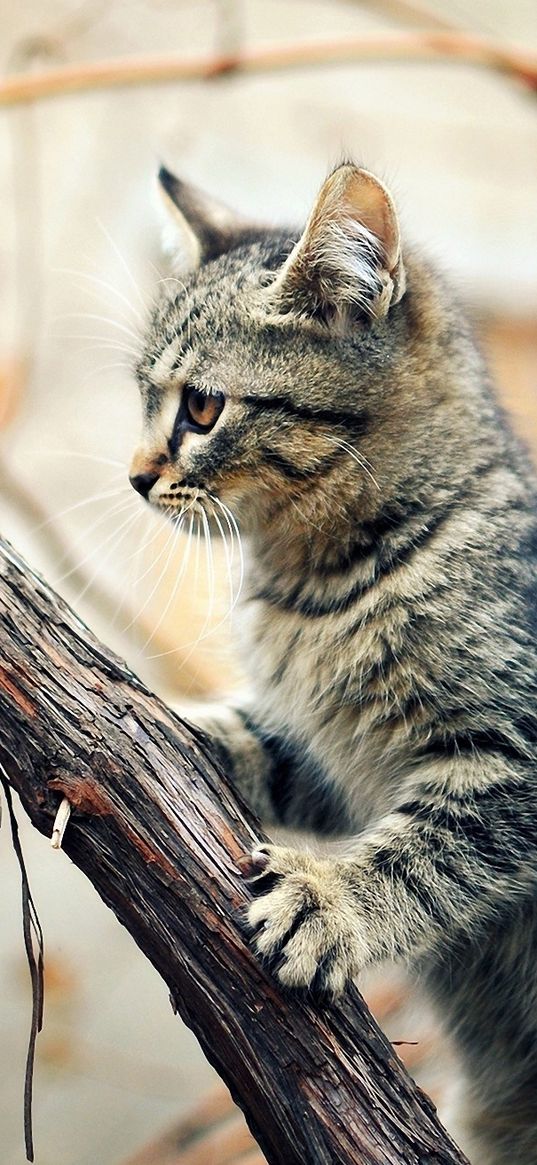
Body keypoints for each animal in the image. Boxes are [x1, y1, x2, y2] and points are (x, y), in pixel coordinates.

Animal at [128, 161, 535, 1165]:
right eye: (142, 399)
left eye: (200, 408)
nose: (136, 475)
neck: (314, 585)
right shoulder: (332, 752)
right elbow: (270, 747)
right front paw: (187, 728)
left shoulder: (511, 752)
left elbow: (433, 845)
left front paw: (333, 901)